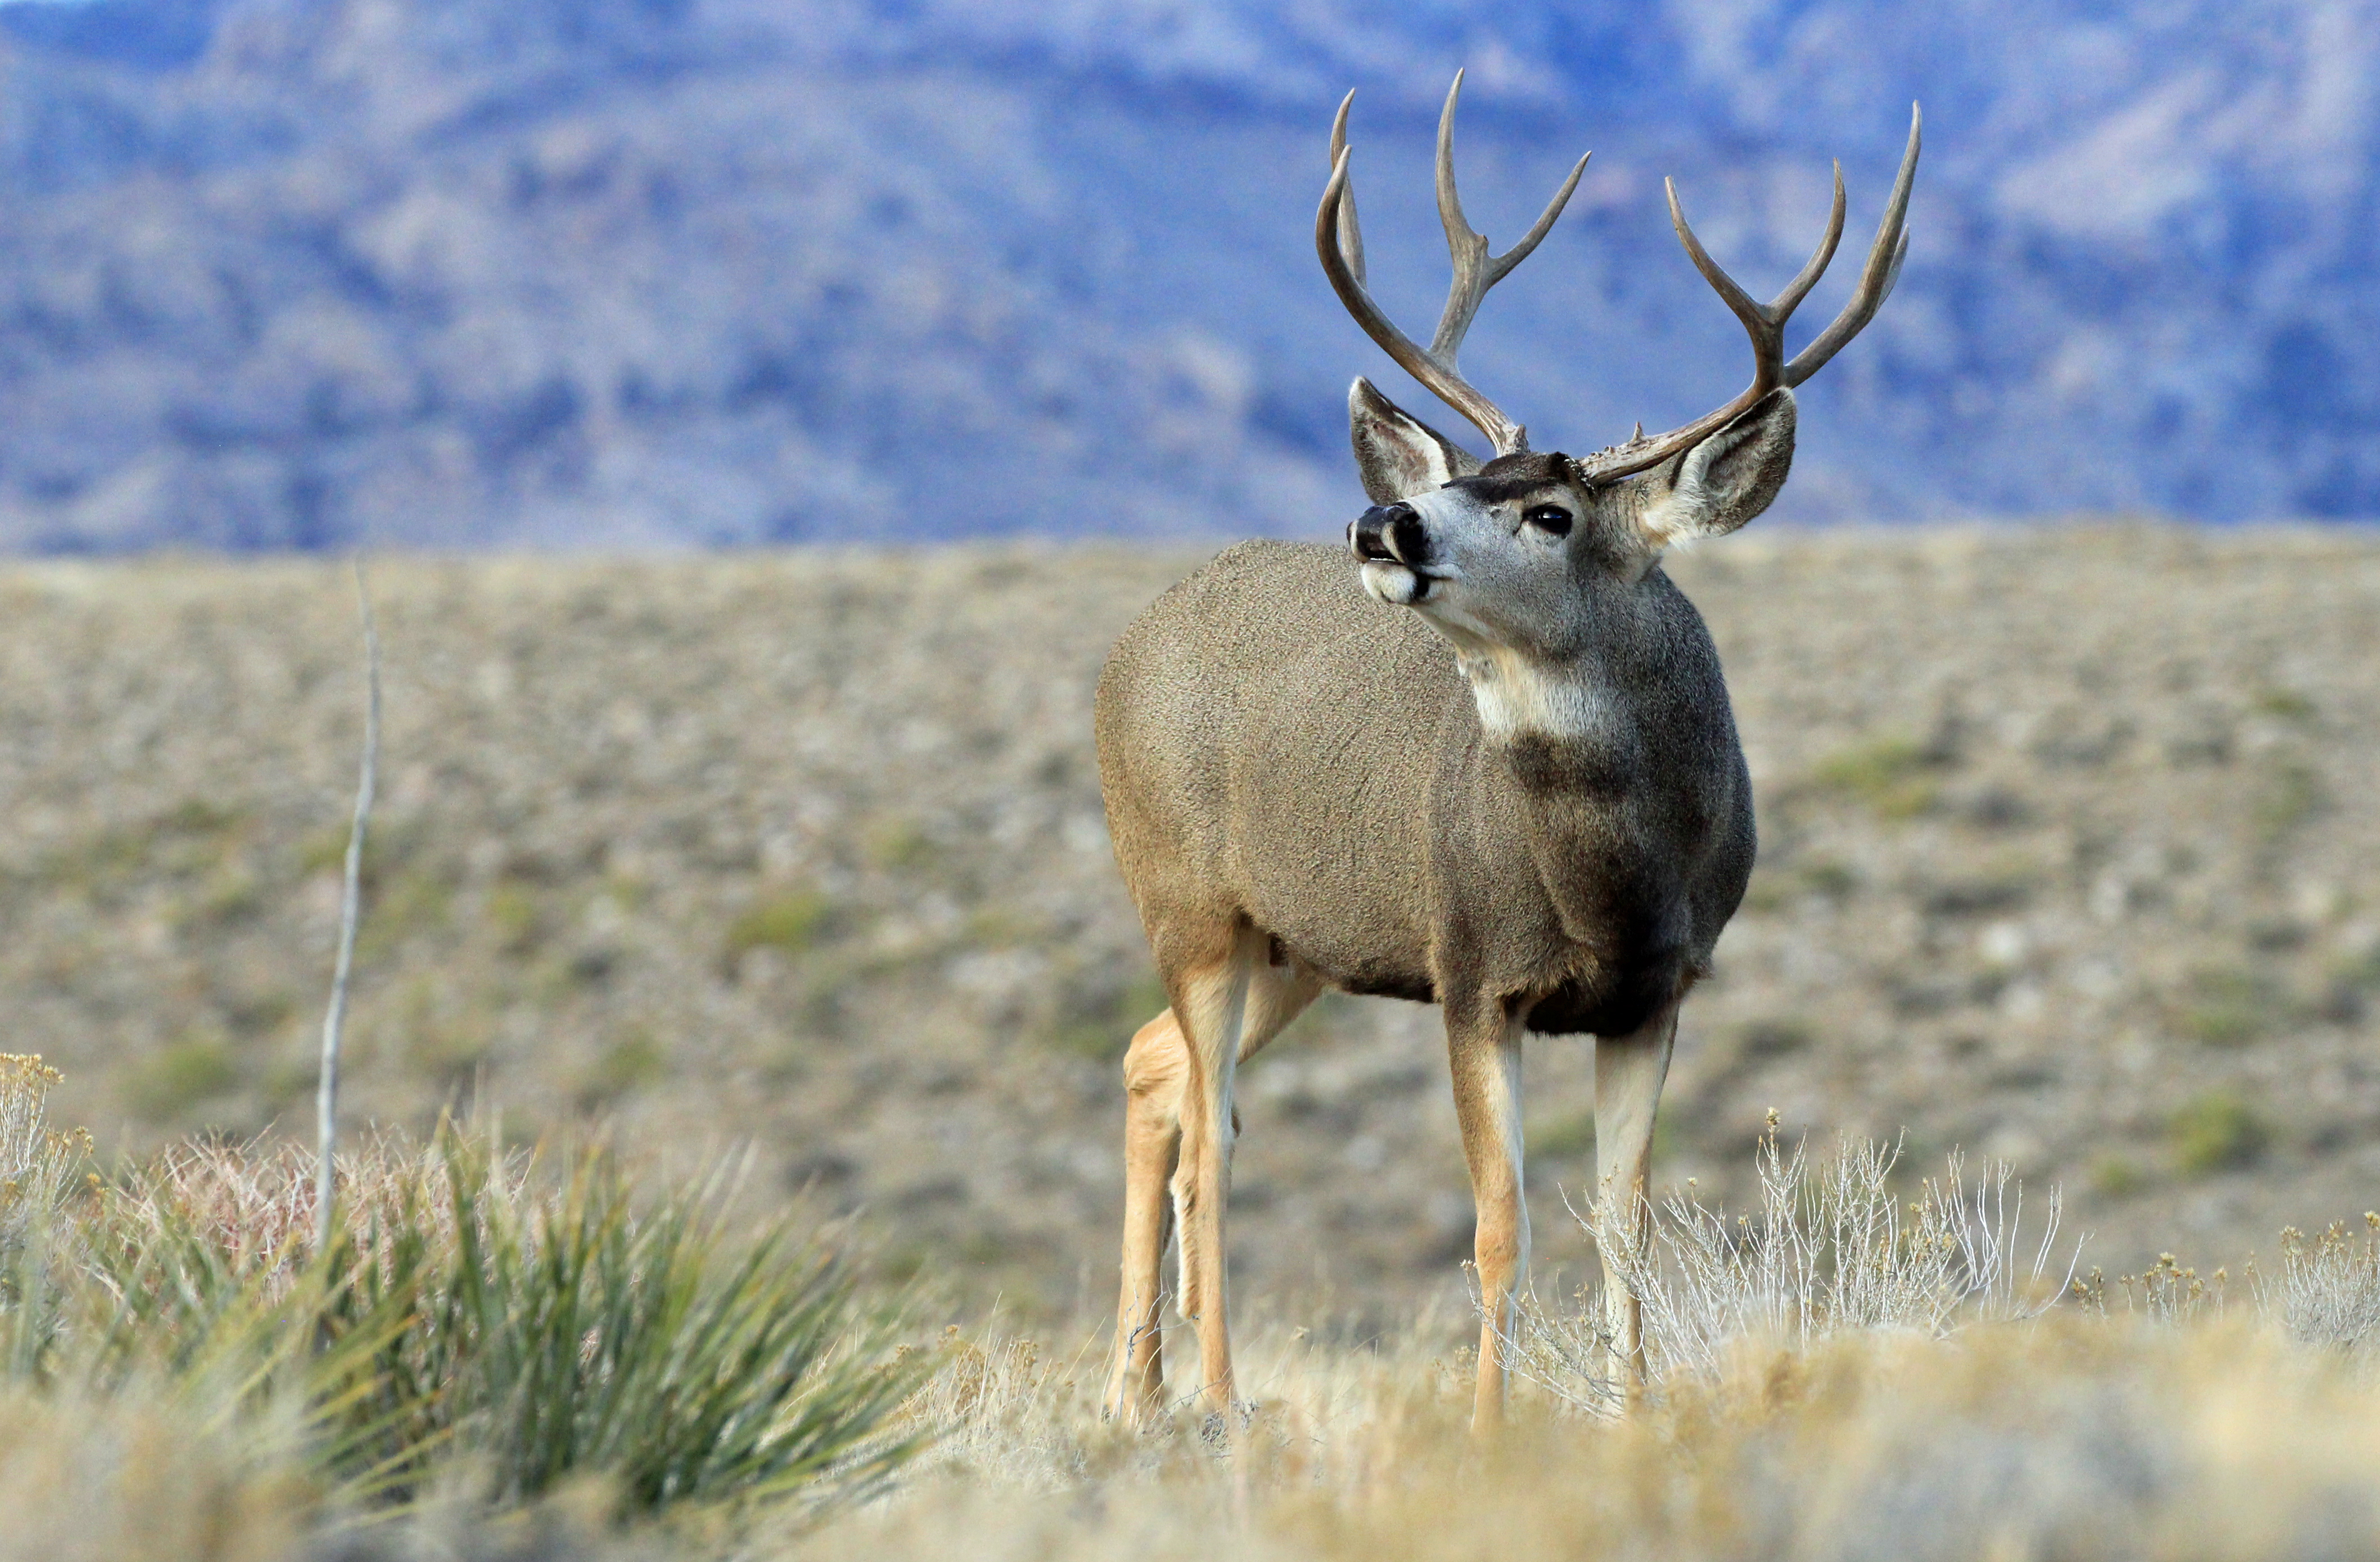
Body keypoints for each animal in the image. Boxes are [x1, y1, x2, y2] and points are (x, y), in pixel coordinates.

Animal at [1090, 76, 1913, 1438]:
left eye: (1549, 511)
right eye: (1466, 476)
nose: (1384, 520)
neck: (1605, 886)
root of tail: (1128, 645)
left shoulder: (1660, 989)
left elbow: (1627, 1227)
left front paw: (1633, 1418)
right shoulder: (1472, 973)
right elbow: (1497, 1229)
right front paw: (1488, 1430)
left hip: (1294, 941)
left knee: (1153, 1068)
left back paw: (1135, 1389)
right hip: (1186, 902)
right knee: (1211, 1136)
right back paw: (1218, 1401)